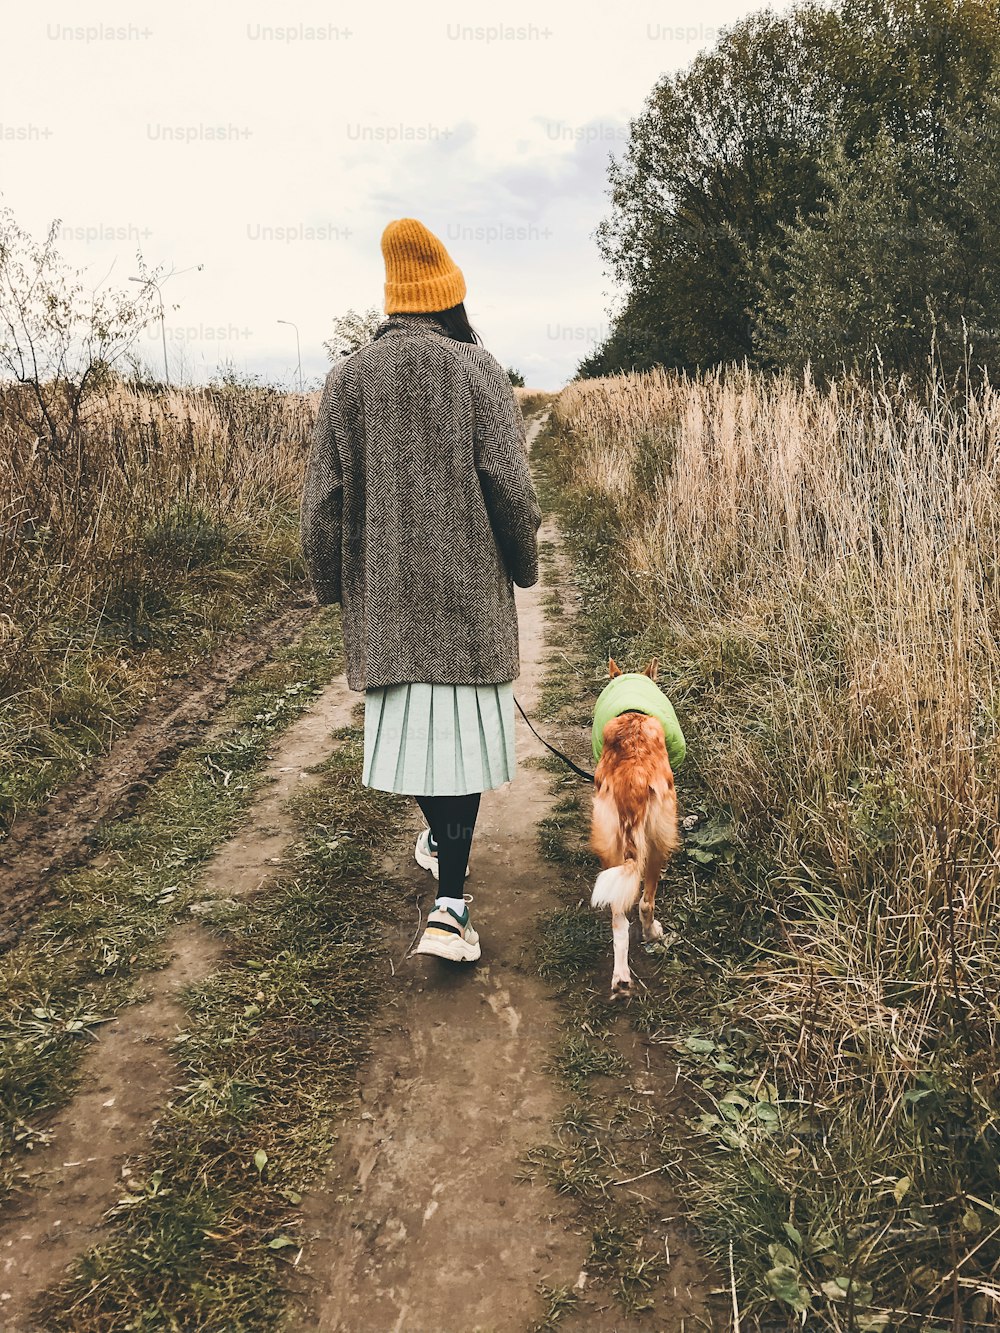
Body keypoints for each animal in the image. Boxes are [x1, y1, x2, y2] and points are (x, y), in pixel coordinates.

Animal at [592, 655, 688, 1002]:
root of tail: (633, 777)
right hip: (660, 840)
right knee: (646, 902)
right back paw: (652, 933)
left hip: (612, 847)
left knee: (619, 919)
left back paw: (621, 979)